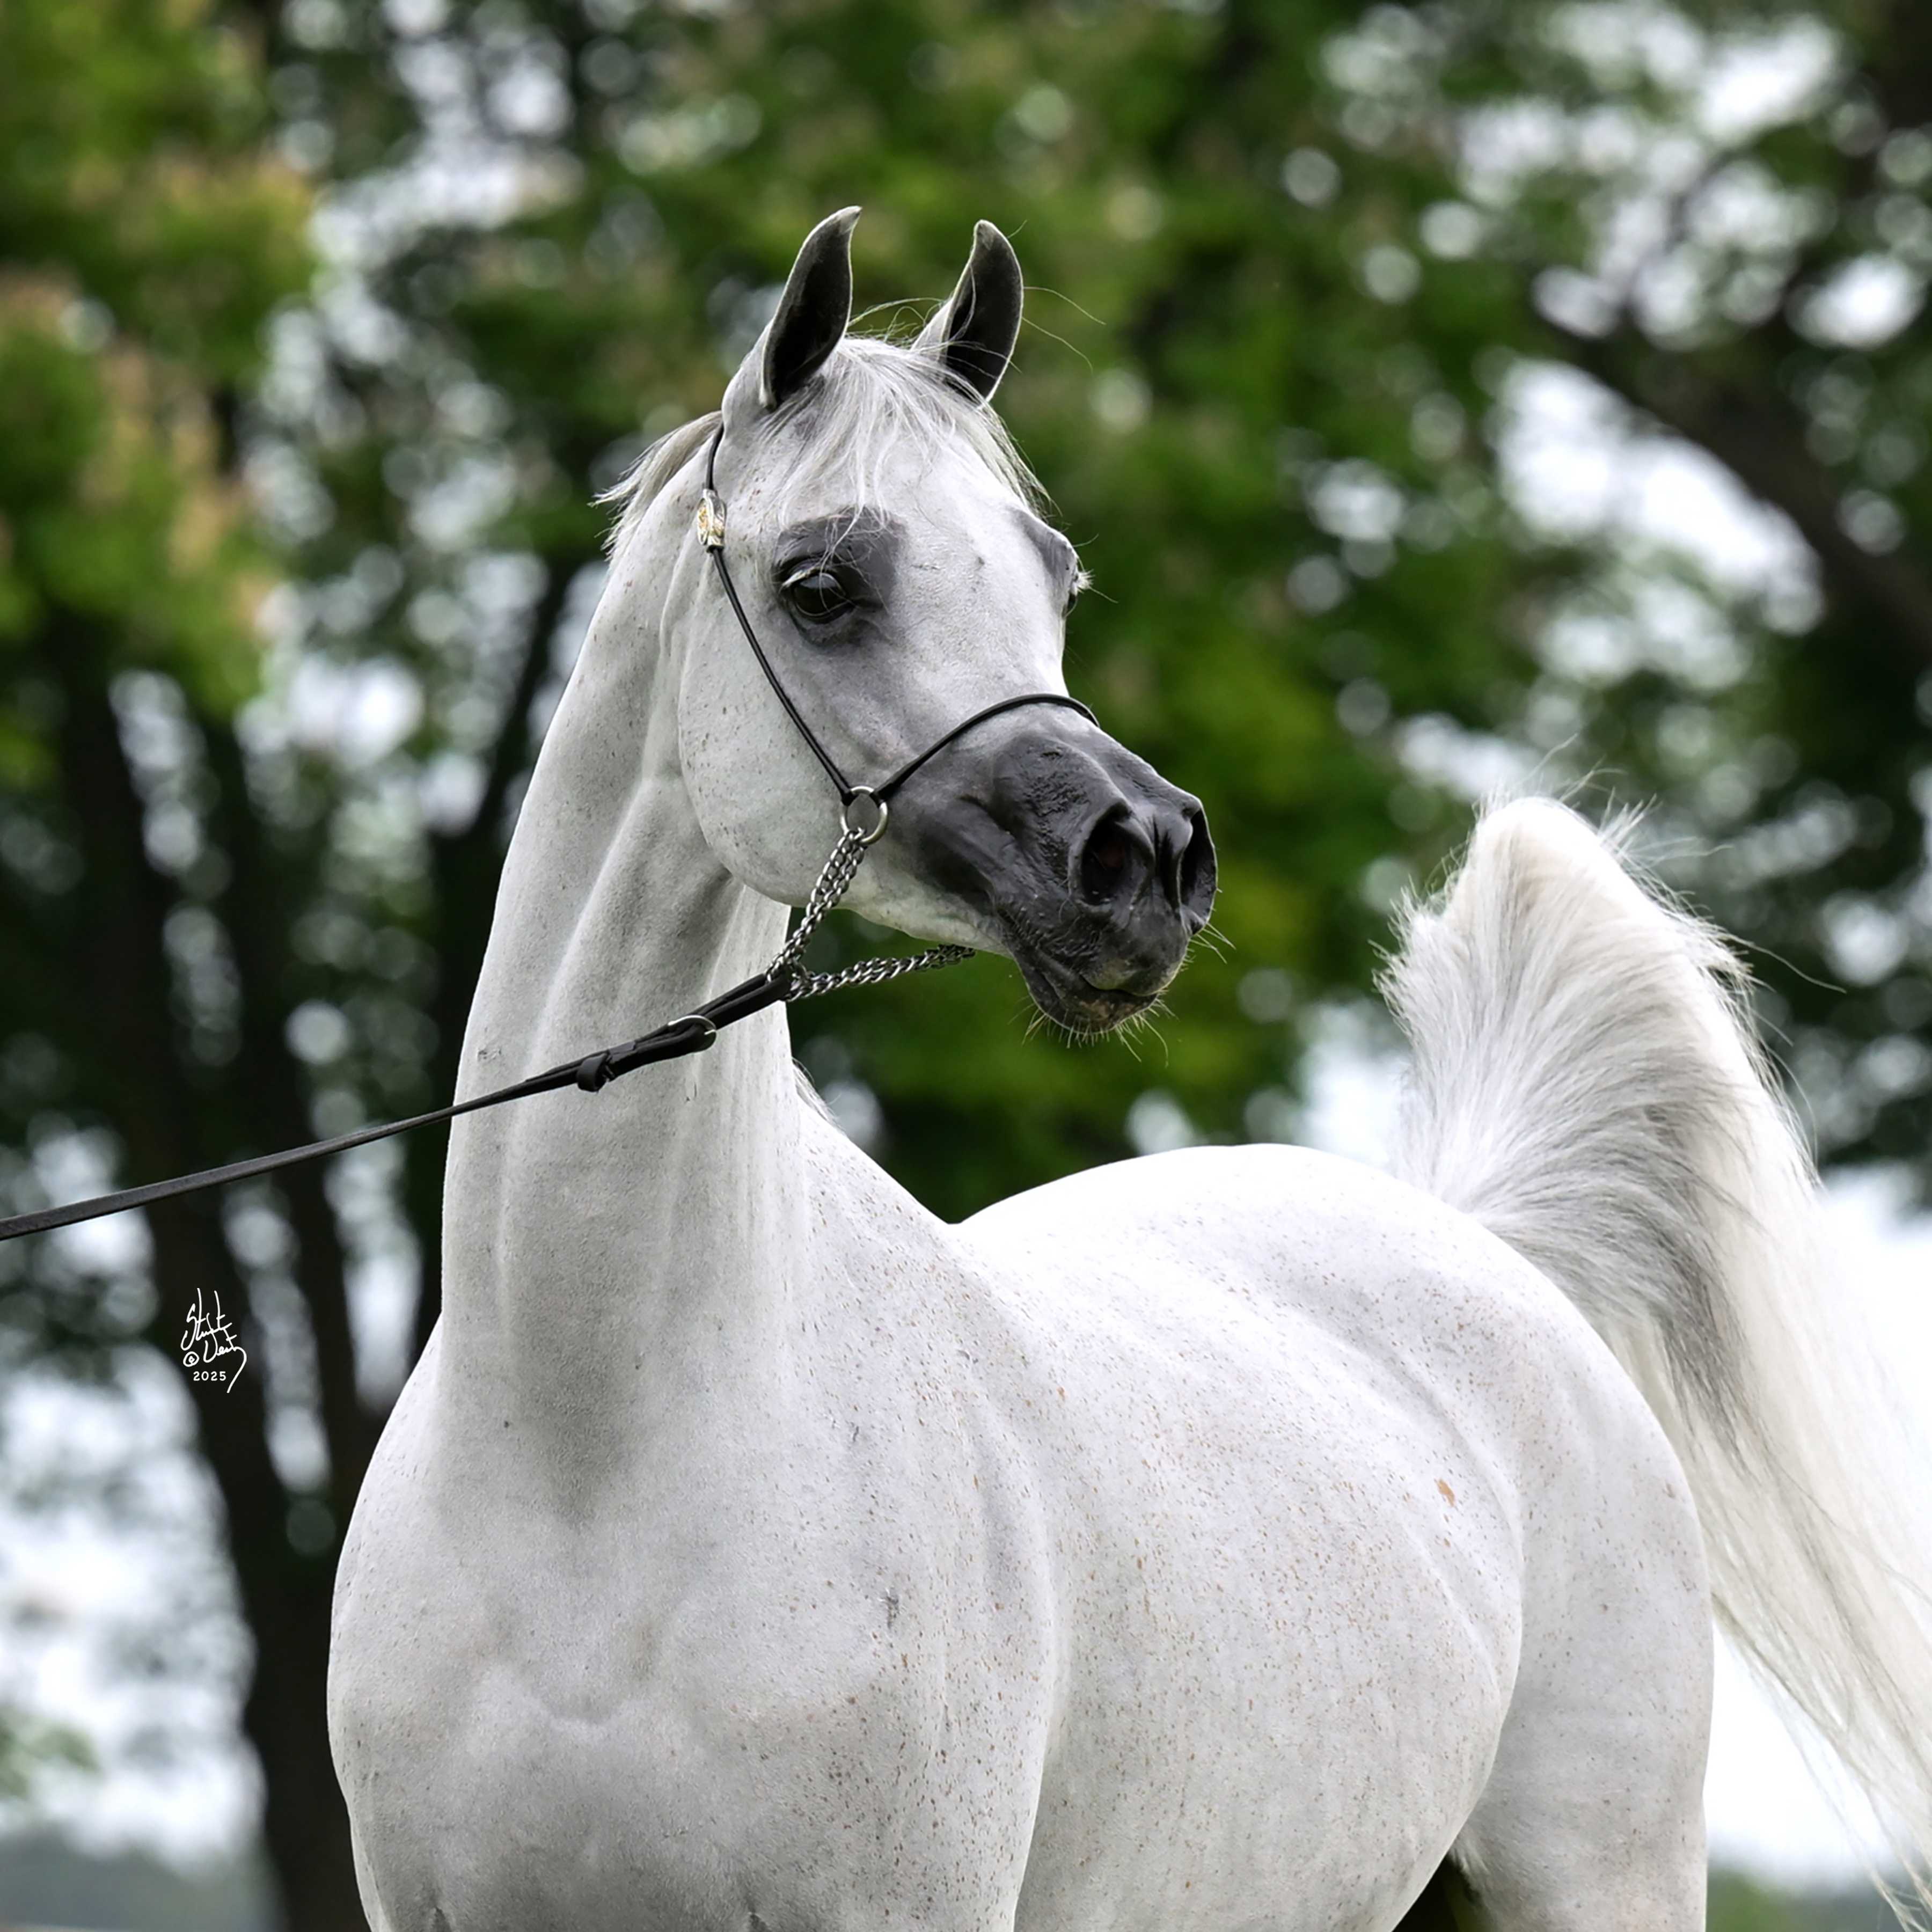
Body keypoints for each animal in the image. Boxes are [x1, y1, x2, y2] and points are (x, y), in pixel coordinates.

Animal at [327, 208, 1932, 1932]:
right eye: (820, 585)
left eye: (1056, 574)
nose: (1148, 862)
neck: (591, 1455)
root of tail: (1480, 1242)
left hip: (1603, 1877)